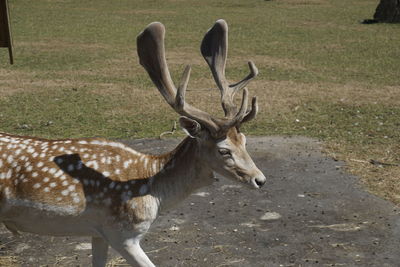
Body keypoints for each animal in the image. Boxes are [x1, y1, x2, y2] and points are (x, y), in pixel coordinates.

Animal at [0, 20, 268, 267]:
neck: (153, 191)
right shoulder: (122, 234)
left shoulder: (99, 233)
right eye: (223, 150)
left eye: (244, 141)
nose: (260, 180)